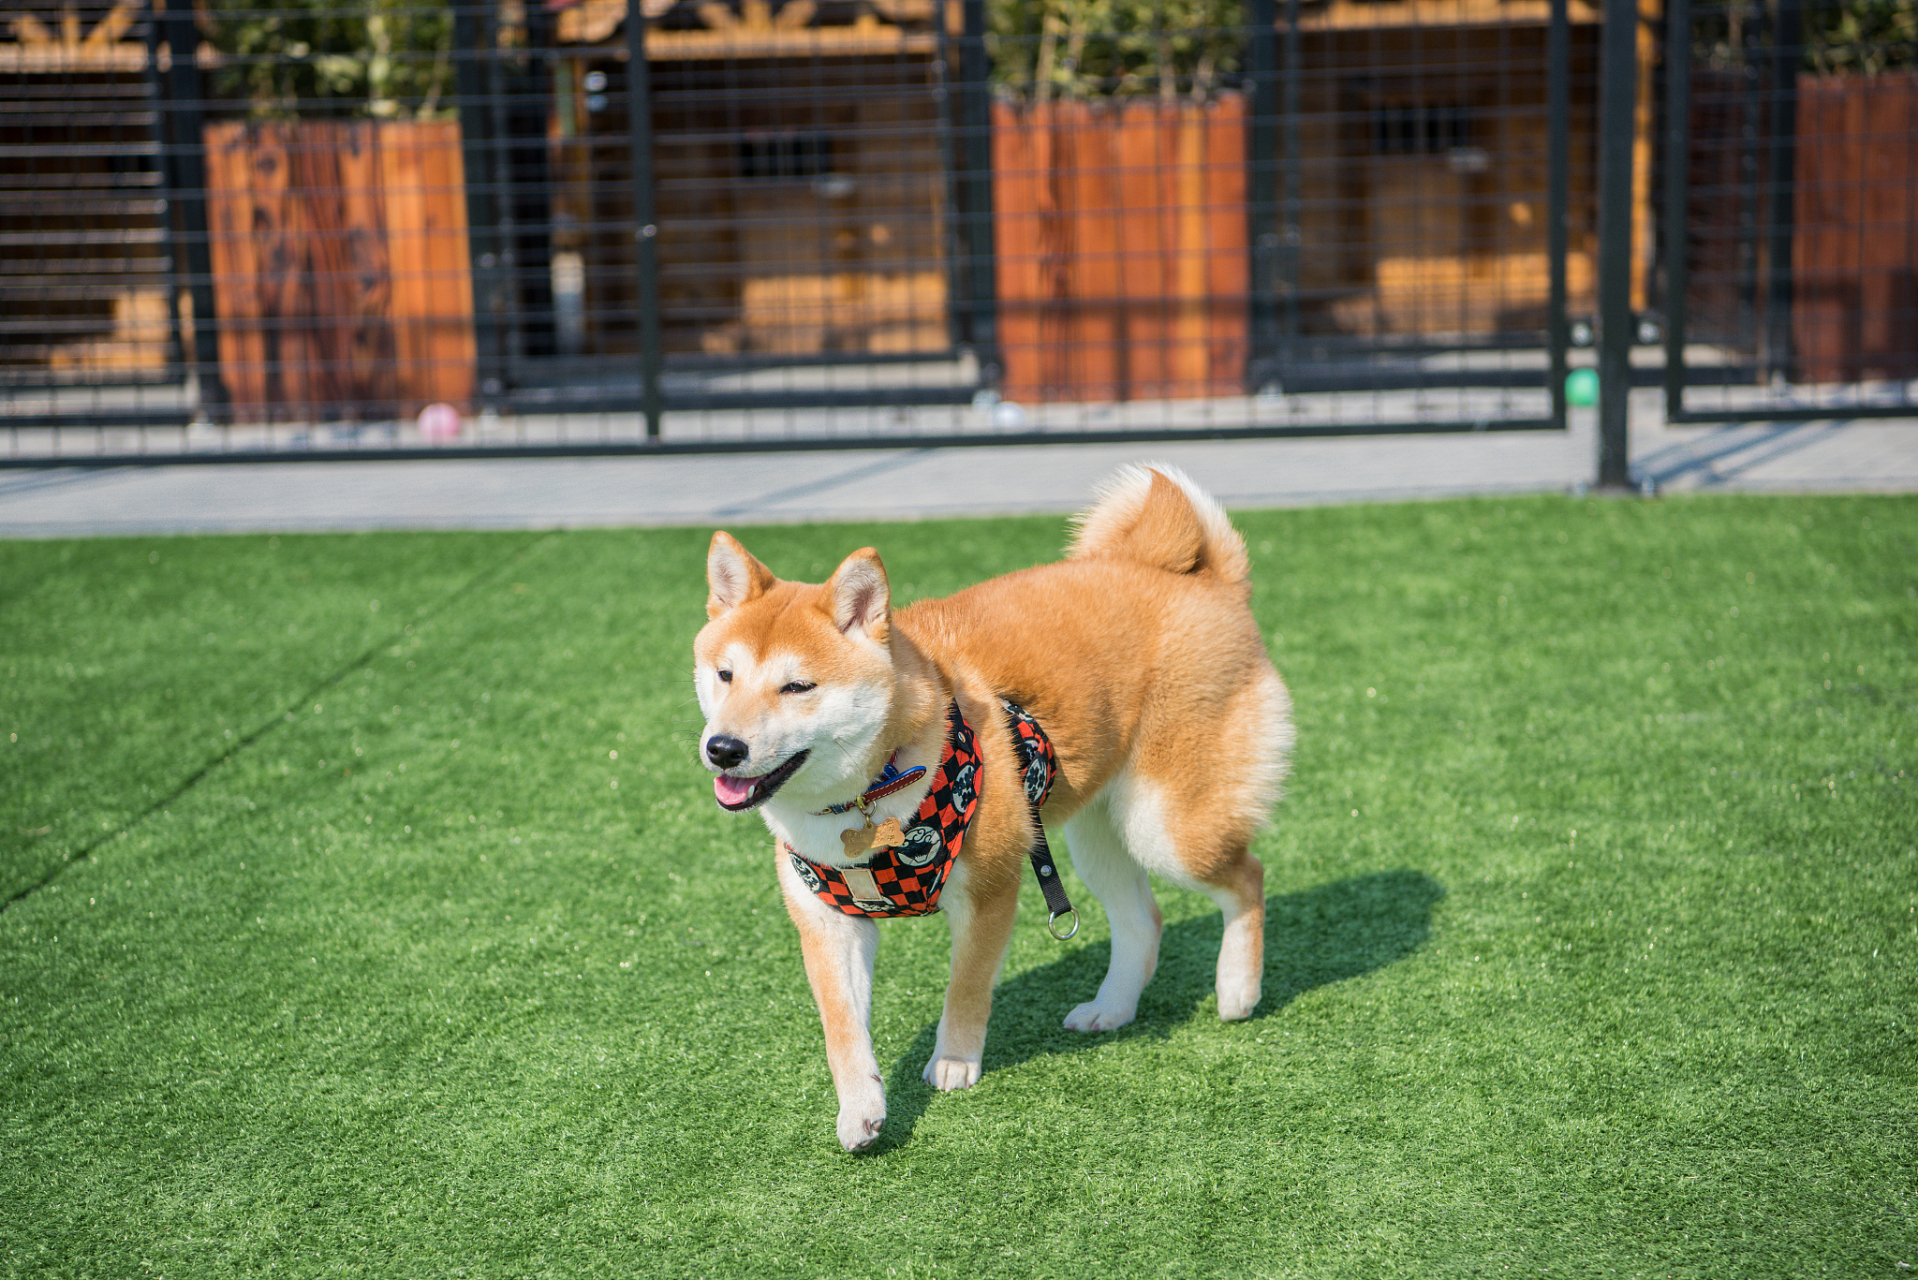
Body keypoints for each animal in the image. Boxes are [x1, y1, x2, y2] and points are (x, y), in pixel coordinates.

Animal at [690, 460, 1288, 1151]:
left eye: (797, 687)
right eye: (726, 675)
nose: (722, 748)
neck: (869, 796)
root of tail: (1200, 576)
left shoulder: (991, 891)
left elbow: (966, 988)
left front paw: (953, 1062)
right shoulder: (827, 918)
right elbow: (842, 1029)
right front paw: (860, 1109)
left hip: (1166, 829)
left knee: (1248, 877)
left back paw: (1237, 990)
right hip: (1096, 838)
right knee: (1145, 919)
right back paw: (1112, 1008)